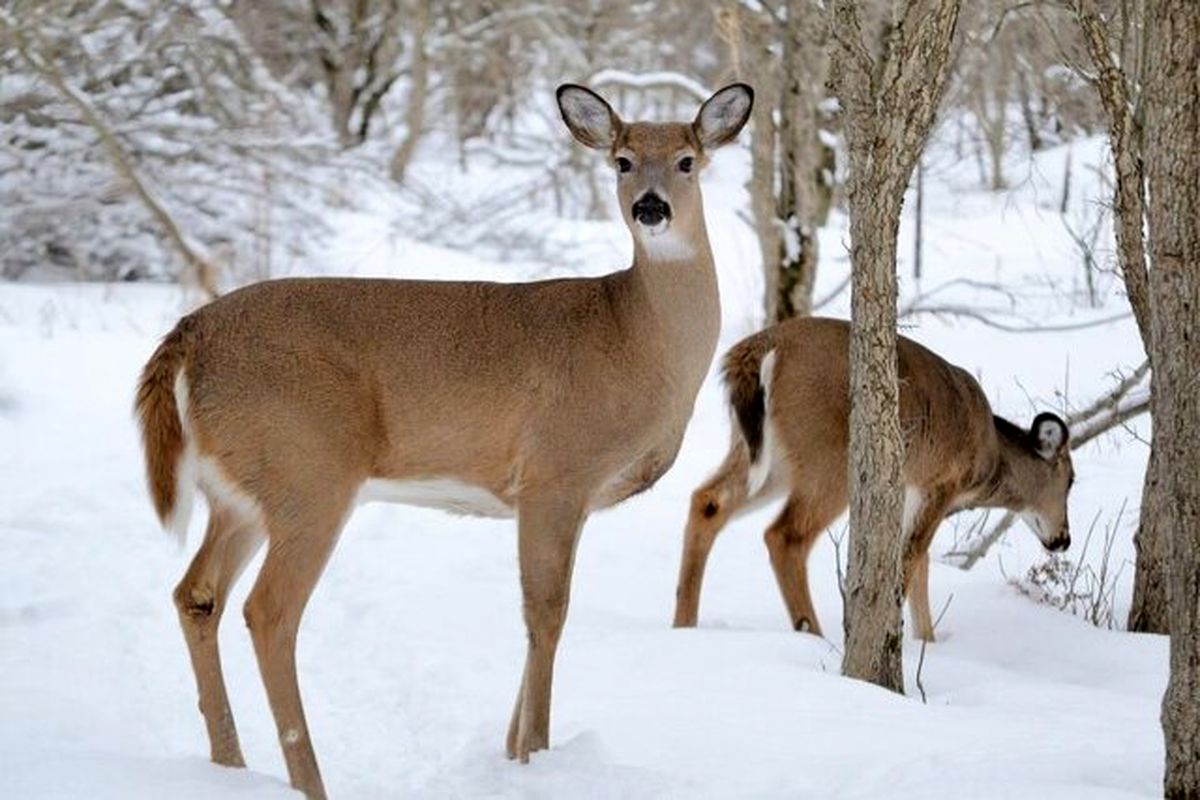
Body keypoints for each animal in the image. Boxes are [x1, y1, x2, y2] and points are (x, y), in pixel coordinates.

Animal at [136, 81, 753, 796]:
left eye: (686, 160)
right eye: (622, 161)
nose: (650, 207)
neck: (636, 340)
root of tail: (188, 335)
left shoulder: (564, 497)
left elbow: (543, 609)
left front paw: (514, 751)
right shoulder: (555, 472)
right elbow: (547, 611)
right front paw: (535, 754)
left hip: (240, 491)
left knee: (196, 594)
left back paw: (229, 766)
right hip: (308, 472)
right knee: (270, 611)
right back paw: (308, 779)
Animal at [672, 316, 1075, 642]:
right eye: (1071, 480)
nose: (1064, 539)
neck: (988, 457)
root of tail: (759, 349)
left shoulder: (910, 489)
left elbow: (920, 564)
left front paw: (927, 640)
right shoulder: (942, 484)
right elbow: (912, 557)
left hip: (765, 456)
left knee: (708, 501)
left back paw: (684, 624)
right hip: (829, 456)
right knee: (784, 535)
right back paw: (814, 635)